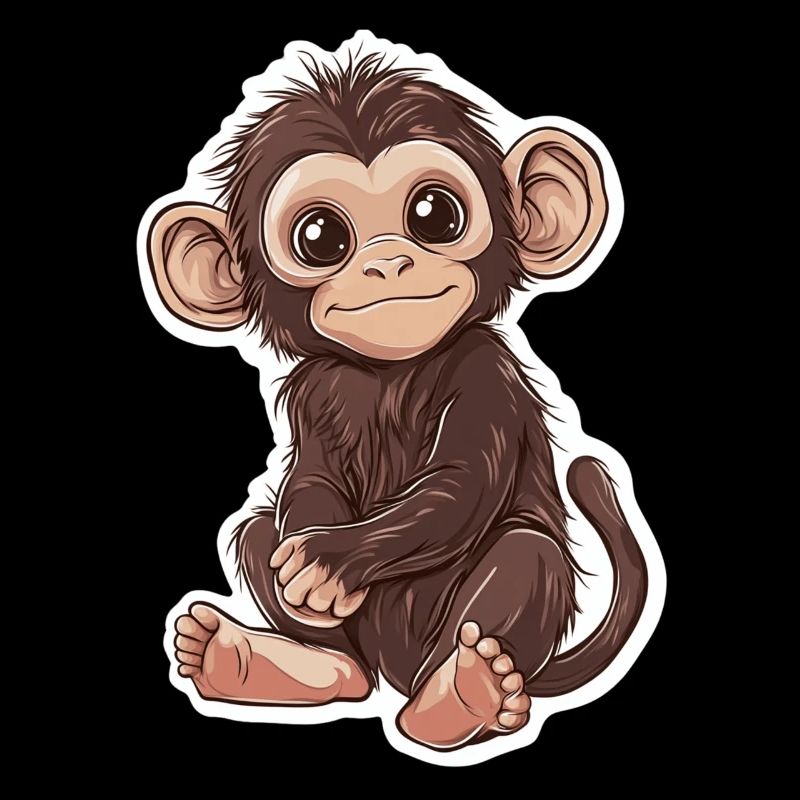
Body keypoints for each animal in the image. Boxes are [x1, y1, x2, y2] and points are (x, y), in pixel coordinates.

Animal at [148, 52, 650, 752]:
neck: (390, 372)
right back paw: (262, 662)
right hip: (363, 653)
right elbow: (310, 484)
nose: (388, 262)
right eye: (320, 237)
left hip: (448, 640)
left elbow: (462, 484)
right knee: (259, 537)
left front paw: (330, 562)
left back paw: (464, 692)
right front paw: (308, 562)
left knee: (528, 552)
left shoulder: (486, 370)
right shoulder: (312, 391)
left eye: (435, 215)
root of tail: (399, 677)